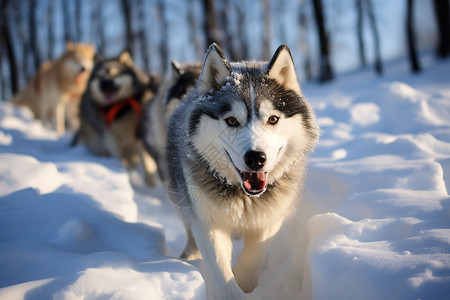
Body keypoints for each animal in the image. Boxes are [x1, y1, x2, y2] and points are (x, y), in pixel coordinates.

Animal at [167, 43, 318, 298]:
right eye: (231, 121)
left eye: (273, 119)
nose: (256, 158)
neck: (245, 197)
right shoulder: (208, 224)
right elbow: (222, 274)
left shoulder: (271, 217)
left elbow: (254, 256)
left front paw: (245, 280)